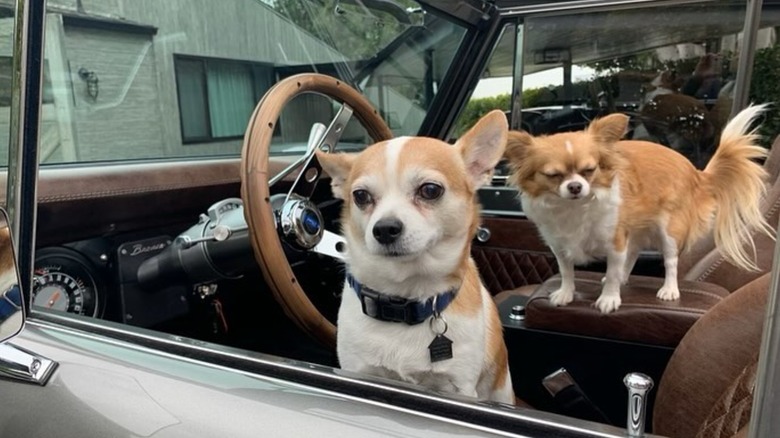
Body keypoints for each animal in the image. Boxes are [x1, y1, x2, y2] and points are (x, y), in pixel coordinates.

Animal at [314, 110, 516, 404]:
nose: (384, 228)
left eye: (430, 190)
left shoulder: (459, 388)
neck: (404, 299)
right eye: (361, 196)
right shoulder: (357, 372)